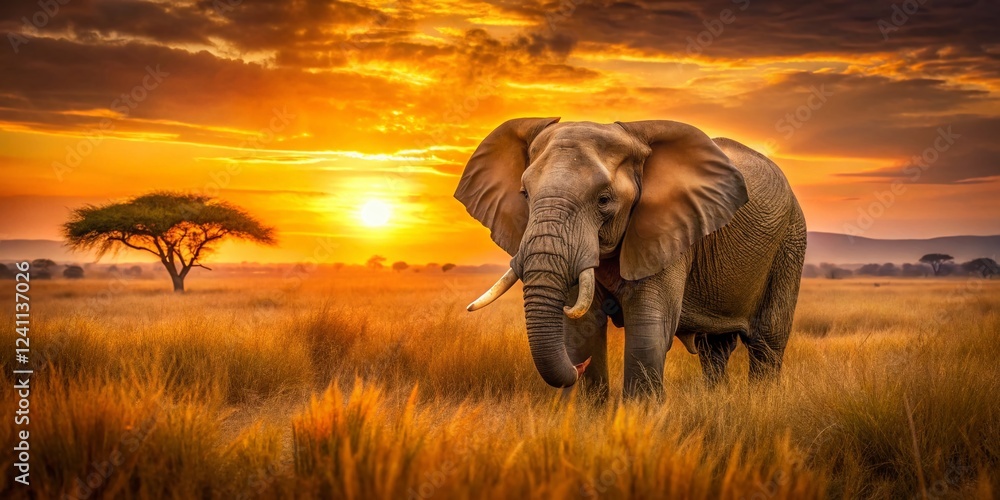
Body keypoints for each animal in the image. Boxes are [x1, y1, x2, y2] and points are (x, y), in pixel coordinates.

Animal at [454, 118, 807, 399]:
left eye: (604, 200)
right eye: (525, 195)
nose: (577, 369)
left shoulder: (668, 232)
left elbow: (648, 330)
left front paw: (640, 421)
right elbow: (583, 329)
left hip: (790, 242)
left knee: (766, 343)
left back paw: (761, 403)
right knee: (714, 349)